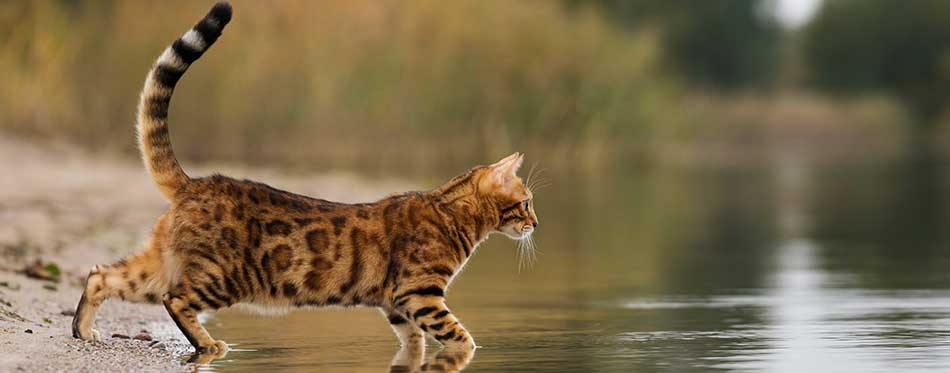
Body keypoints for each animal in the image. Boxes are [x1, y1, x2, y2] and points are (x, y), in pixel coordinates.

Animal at [70, 1, 540, 356]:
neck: (452, 213)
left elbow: (413, 340)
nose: (536, 223)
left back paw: (83, 329)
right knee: (176, 299)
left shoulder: (396, 303)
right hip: (223, 276)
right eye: (527, 201)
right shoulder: (418, 292)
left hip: (160, 265)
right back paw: (208, 345)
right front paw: (468, 351)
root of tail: (196, 183)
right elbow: (459, 335)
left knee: (101, 274)